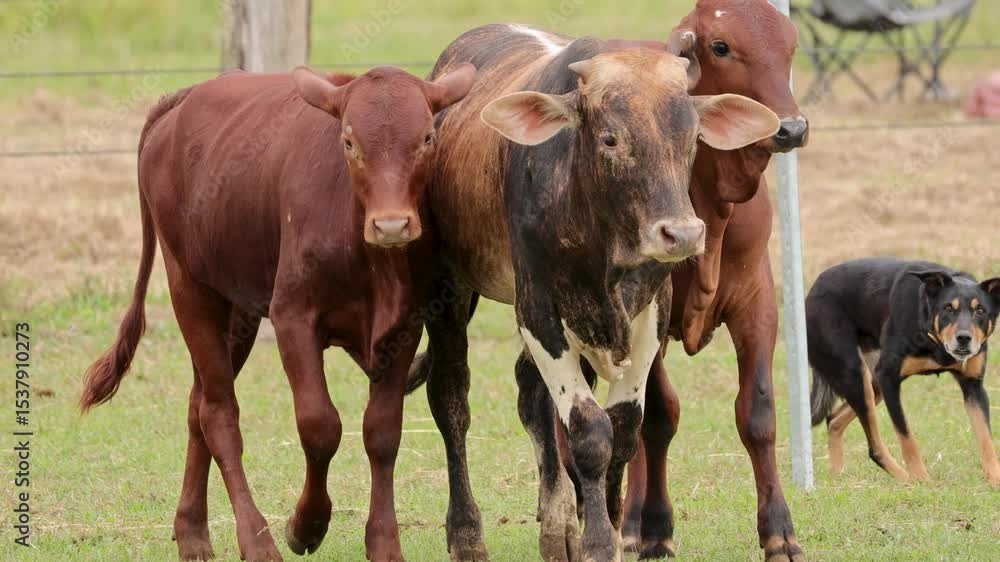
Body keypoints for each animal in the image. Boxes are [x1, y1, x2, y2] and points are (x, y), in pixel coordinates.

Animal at [807, 257, 1000, 485]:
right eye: (947, 308)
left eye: (980, 311)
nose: (963, 338)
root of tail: (814, 288)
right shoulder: (889, 378)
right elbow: (906, 437)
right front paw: (921, 480)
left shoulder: (974, 387)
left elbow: (986, 440)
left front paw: (995, 479)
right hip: (854, 374)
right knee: (874, 447)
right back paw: (905, 479)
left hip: (872, 383)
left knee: (834, 420)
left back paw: (836, 476)